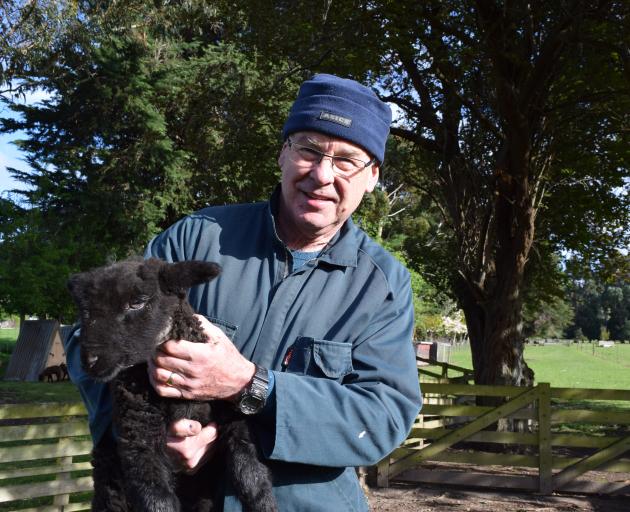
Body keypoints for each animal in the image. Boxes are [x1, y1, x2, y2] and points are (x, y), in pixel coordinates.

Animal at [68, 258, 278, 512]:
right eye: (86, 311)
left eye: (137, 302)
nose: (89, 361)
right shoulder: (139, 434)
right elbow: (157, 497)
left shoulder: (230, 412)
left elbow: (249, 470)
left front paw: (266, 505)